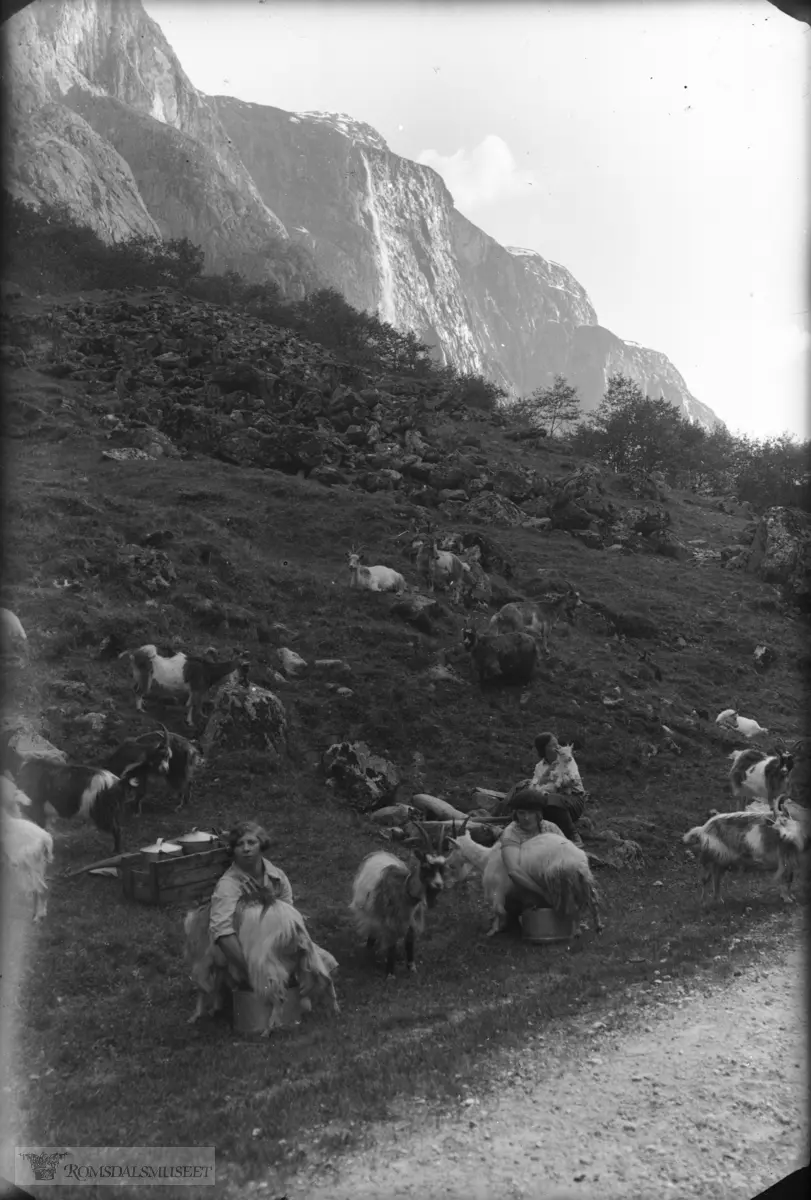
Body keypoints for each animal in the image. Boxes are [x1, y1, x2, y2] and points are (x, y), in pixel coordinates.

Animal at [0, 772, 53, 921]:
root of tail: (45, 839)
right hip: (39, 865)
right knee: (38, 888)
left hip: (33, 864)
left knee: (42, 889)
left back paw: (39, 916)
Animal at [13, 758, 142, 854]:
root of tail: (116, 782)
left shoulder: (36, 809)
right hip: (112, 812)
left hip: (103, 814)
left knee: (117, 829)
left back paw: (116, 851)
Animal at [184, 892, 340, 1032]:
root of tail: (292, 926)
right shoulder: (219, 963)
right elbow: (217, 984)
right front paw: (214, 1008)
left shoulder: (202, 963)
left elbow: (203, 988)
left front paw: (196, 1015)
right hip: (309, 957)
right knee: (326, 979)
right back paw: (335, 1009)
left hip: (265, 966)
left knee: (279, 997)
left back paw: (268, 1029)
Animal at [347, 820, 448, 979]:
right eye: (425, 866)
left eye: (443, 869)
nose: (439, 885)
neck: (405, 892)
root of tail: (380, 854)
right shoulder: (391, 921)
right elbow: (392, 945)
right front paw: (390, 973)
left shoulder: (412, 920)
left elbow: (409, 942)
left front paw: (412, 968)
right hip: (370, 909)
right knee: (372, 929)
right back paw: (369, 951)